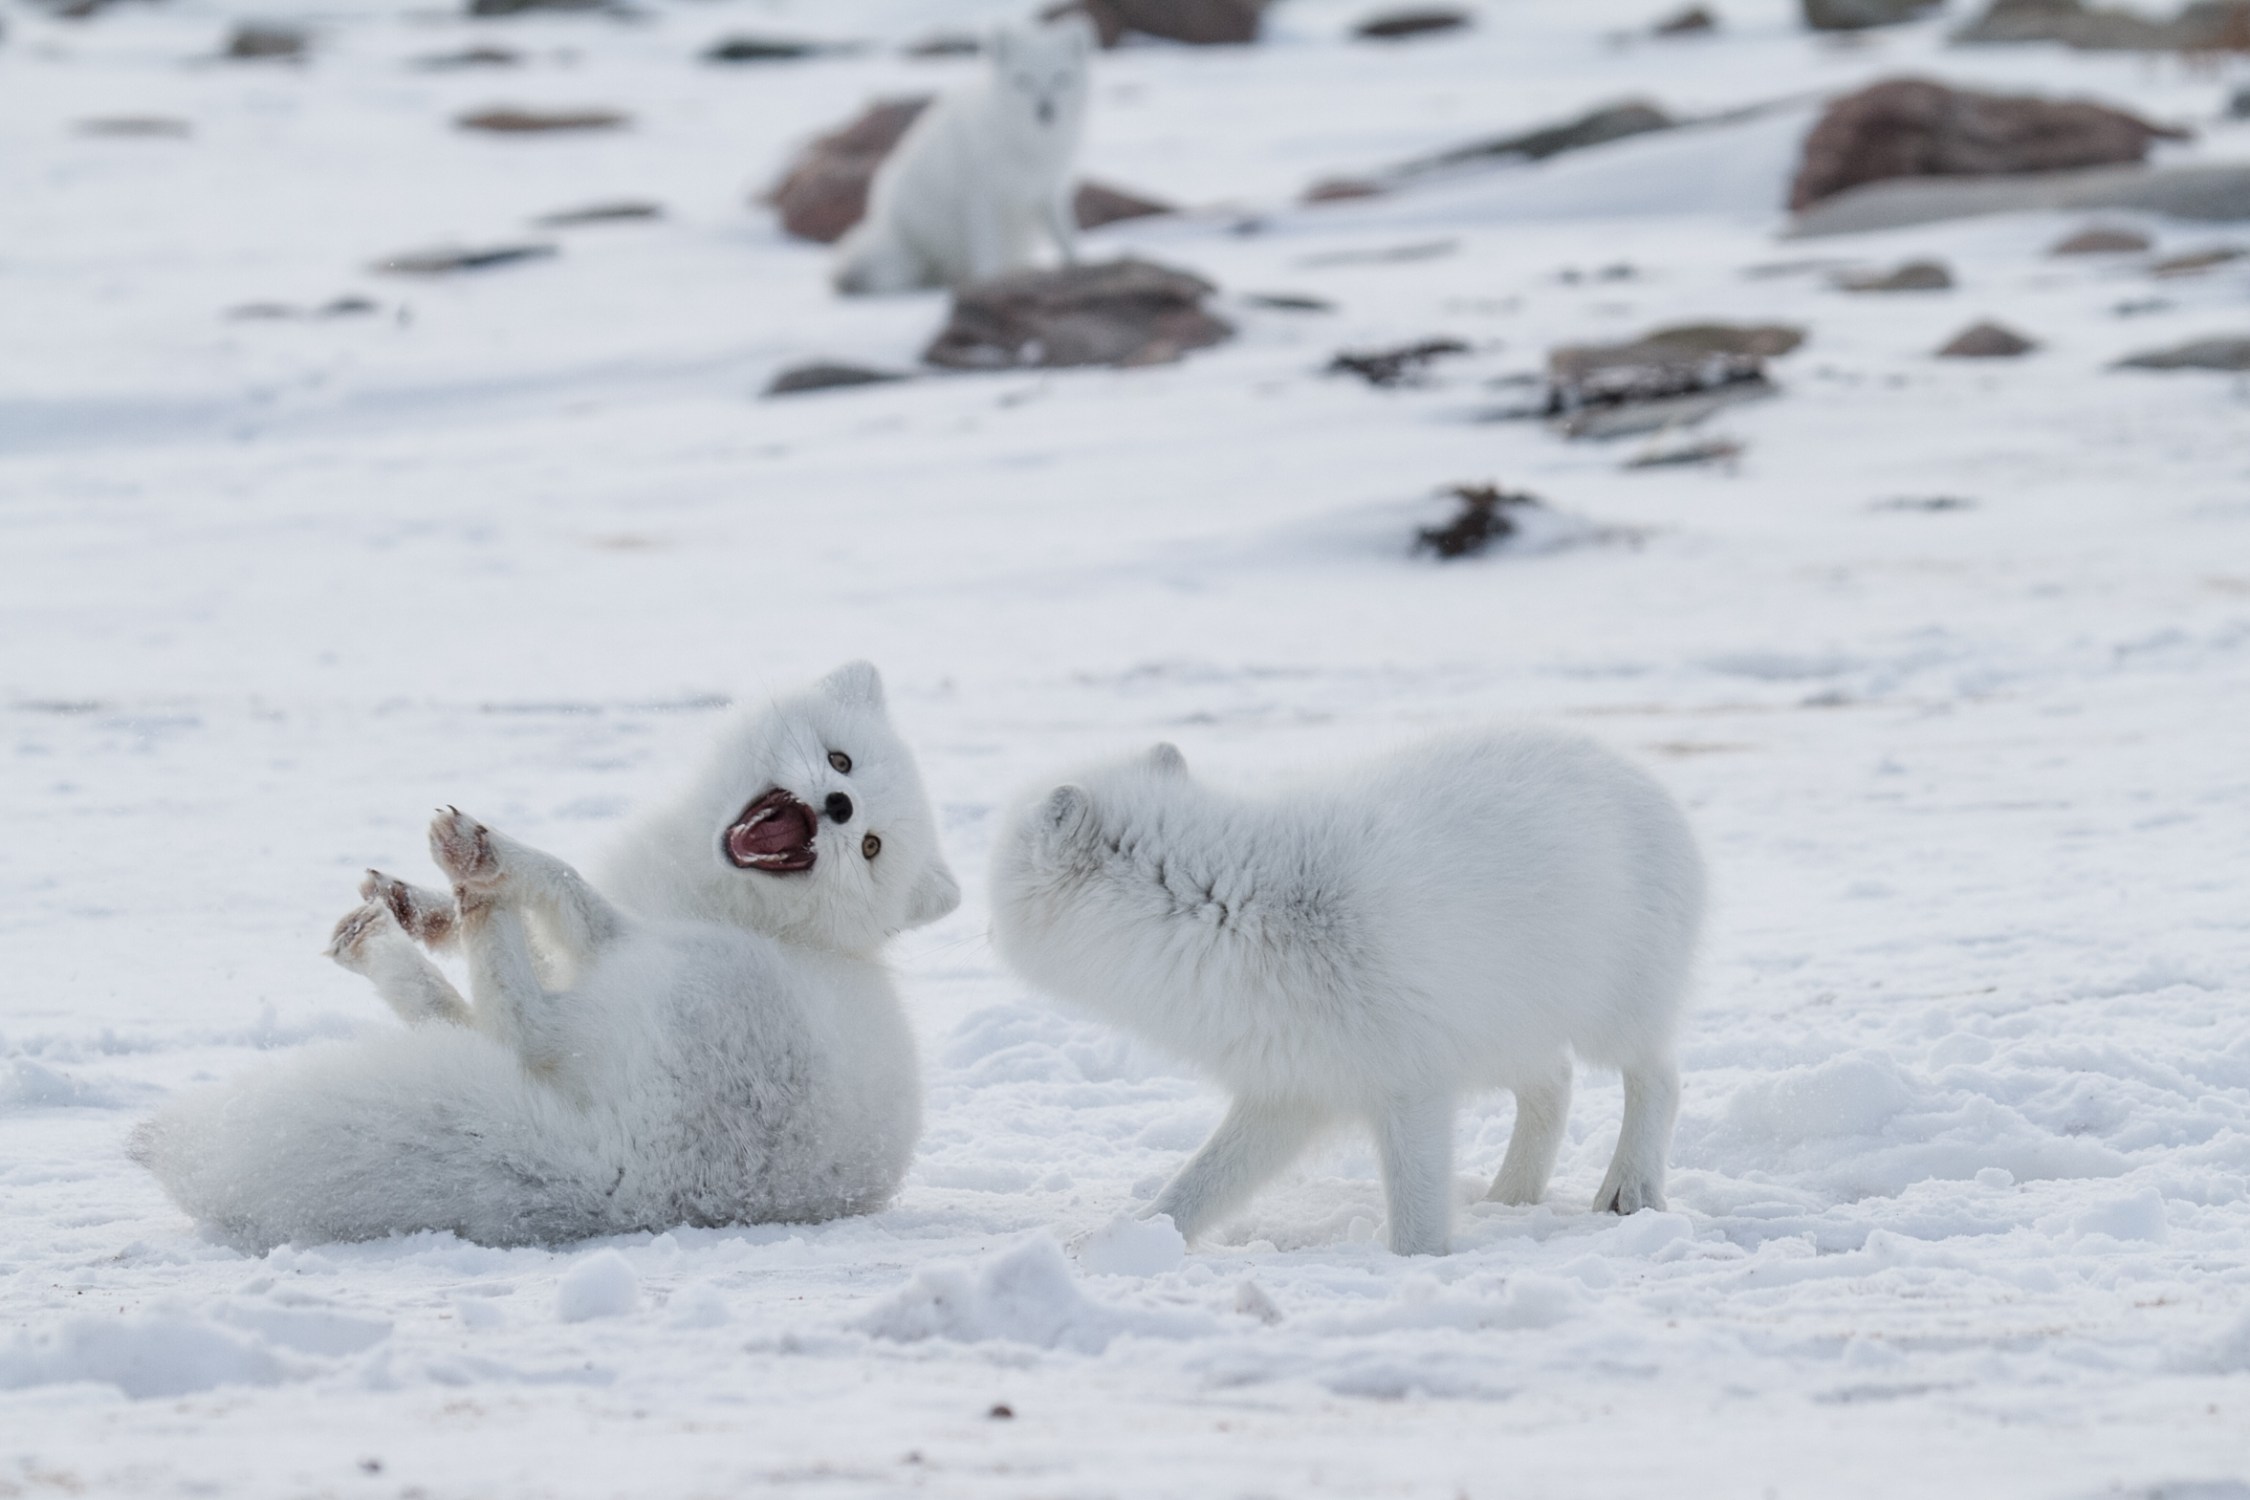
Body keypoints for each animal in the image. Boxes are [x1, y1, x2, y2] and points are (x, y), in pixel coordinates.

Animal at [131, 661, 958, 1250]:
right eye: (840, 760)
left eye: (871, 848)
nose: (840, 809)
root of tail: (628, 1187)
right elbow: (536, 935)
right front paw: (424, 906)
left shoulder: (616, 929)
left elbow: (563, 884)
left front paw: (484, 865)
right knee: (477, 1026)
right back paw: (403, 924)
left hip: (676, 972)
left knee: (517, 1021)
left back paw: (464, 887)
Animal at [837, 14, 1098, 296]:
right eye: (1023, 80)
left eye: (1061, 77)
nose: (1045, 109)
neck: (1029, 145)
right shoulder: (980, 197)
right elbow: (986, 253)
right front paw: (990, 283)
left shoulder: (1049, 192)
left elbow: (1067, 238)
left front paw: (1077, 268)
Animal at [985, 728, 1701, 1259]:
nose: (984, 928)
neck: (1235, 911)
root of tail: (1642, 777)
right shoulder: (1289, 1089)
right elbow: (1198, 1185)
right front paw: (1124, 1242)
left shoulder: (1410, 1085)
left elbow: (1415, 1216)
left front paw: (1420, 1267)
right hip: (1503, 1033)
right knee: (1555, 1086)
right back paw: (1510, 1197)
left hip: (1610, 1017)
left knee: (1660, 1079)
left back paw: (1629, 1189)